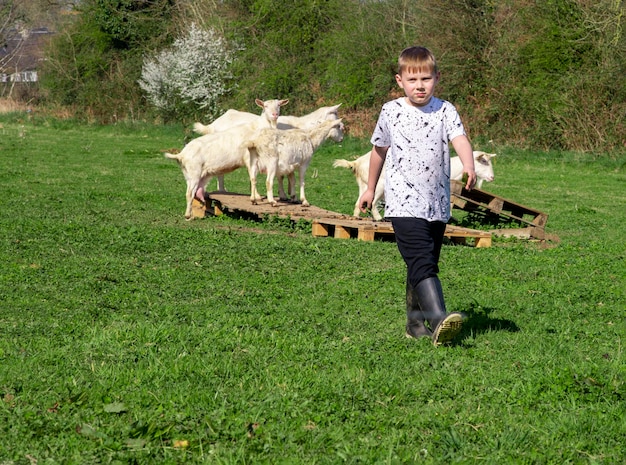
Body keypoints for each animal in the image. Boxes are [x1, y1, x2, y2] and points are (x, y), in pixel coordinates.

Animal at [332, 150, 498, 220]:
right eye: (484, 161)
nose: (492, 177)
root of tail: (357, 162)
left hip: (364, 185)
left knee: (358, 204)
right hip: (378, 185)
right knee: (372, 203)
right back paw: (379, 218)